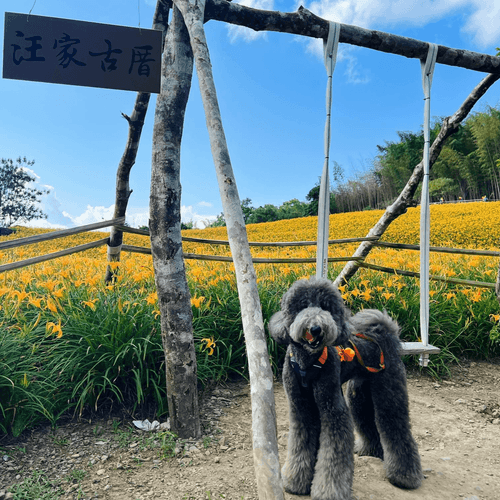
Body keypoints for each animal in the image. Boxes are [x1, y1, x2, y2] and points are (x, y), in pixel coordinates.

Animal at [268, 277, 423, 500]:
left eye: (326, 307)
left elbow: (334, 452)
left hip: (389, 392)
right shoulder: (301, 408)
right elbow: (301, 442)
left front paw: (328, 491)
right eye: (302, 305)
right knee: (367, 420)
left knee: (395, 424)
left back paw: (405, 476)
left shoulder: (333, 406)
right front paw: (295, 482)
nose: (316, 328)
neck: (308, 361)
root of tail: (384, 331)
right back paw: (372, 450)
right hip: (359, 394)